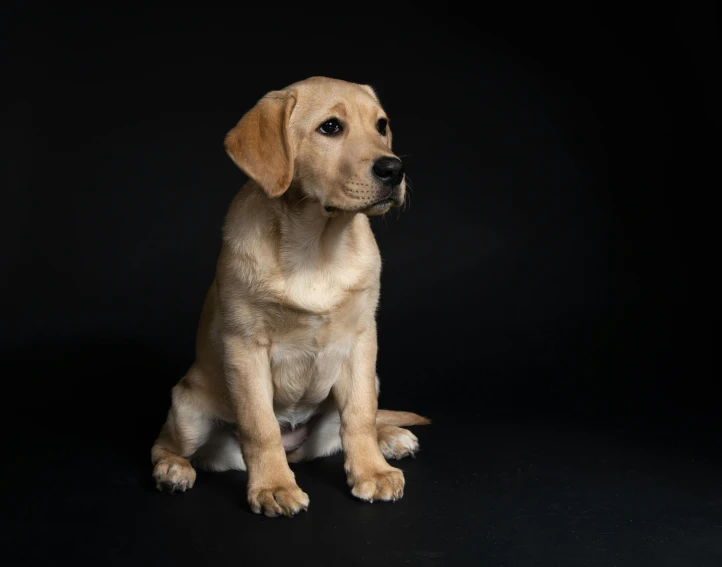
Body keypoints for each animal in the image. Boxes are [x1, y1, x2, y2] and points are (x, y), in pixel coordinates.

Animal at [148, 76, 424, 520]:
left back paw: (390, 437)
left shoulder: (362, 340)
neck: (318, 245)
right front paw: (274, 487)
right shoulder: (245, 348)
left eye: (381, 125)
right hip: (188, 412)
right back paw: (173, 469)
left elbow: (360, 414)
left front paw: (371, 471)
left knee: (355, 421)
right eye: (330, 127)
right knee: (165, 443)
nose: (394, 169)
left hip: (365, 381)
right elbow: (260, 427)